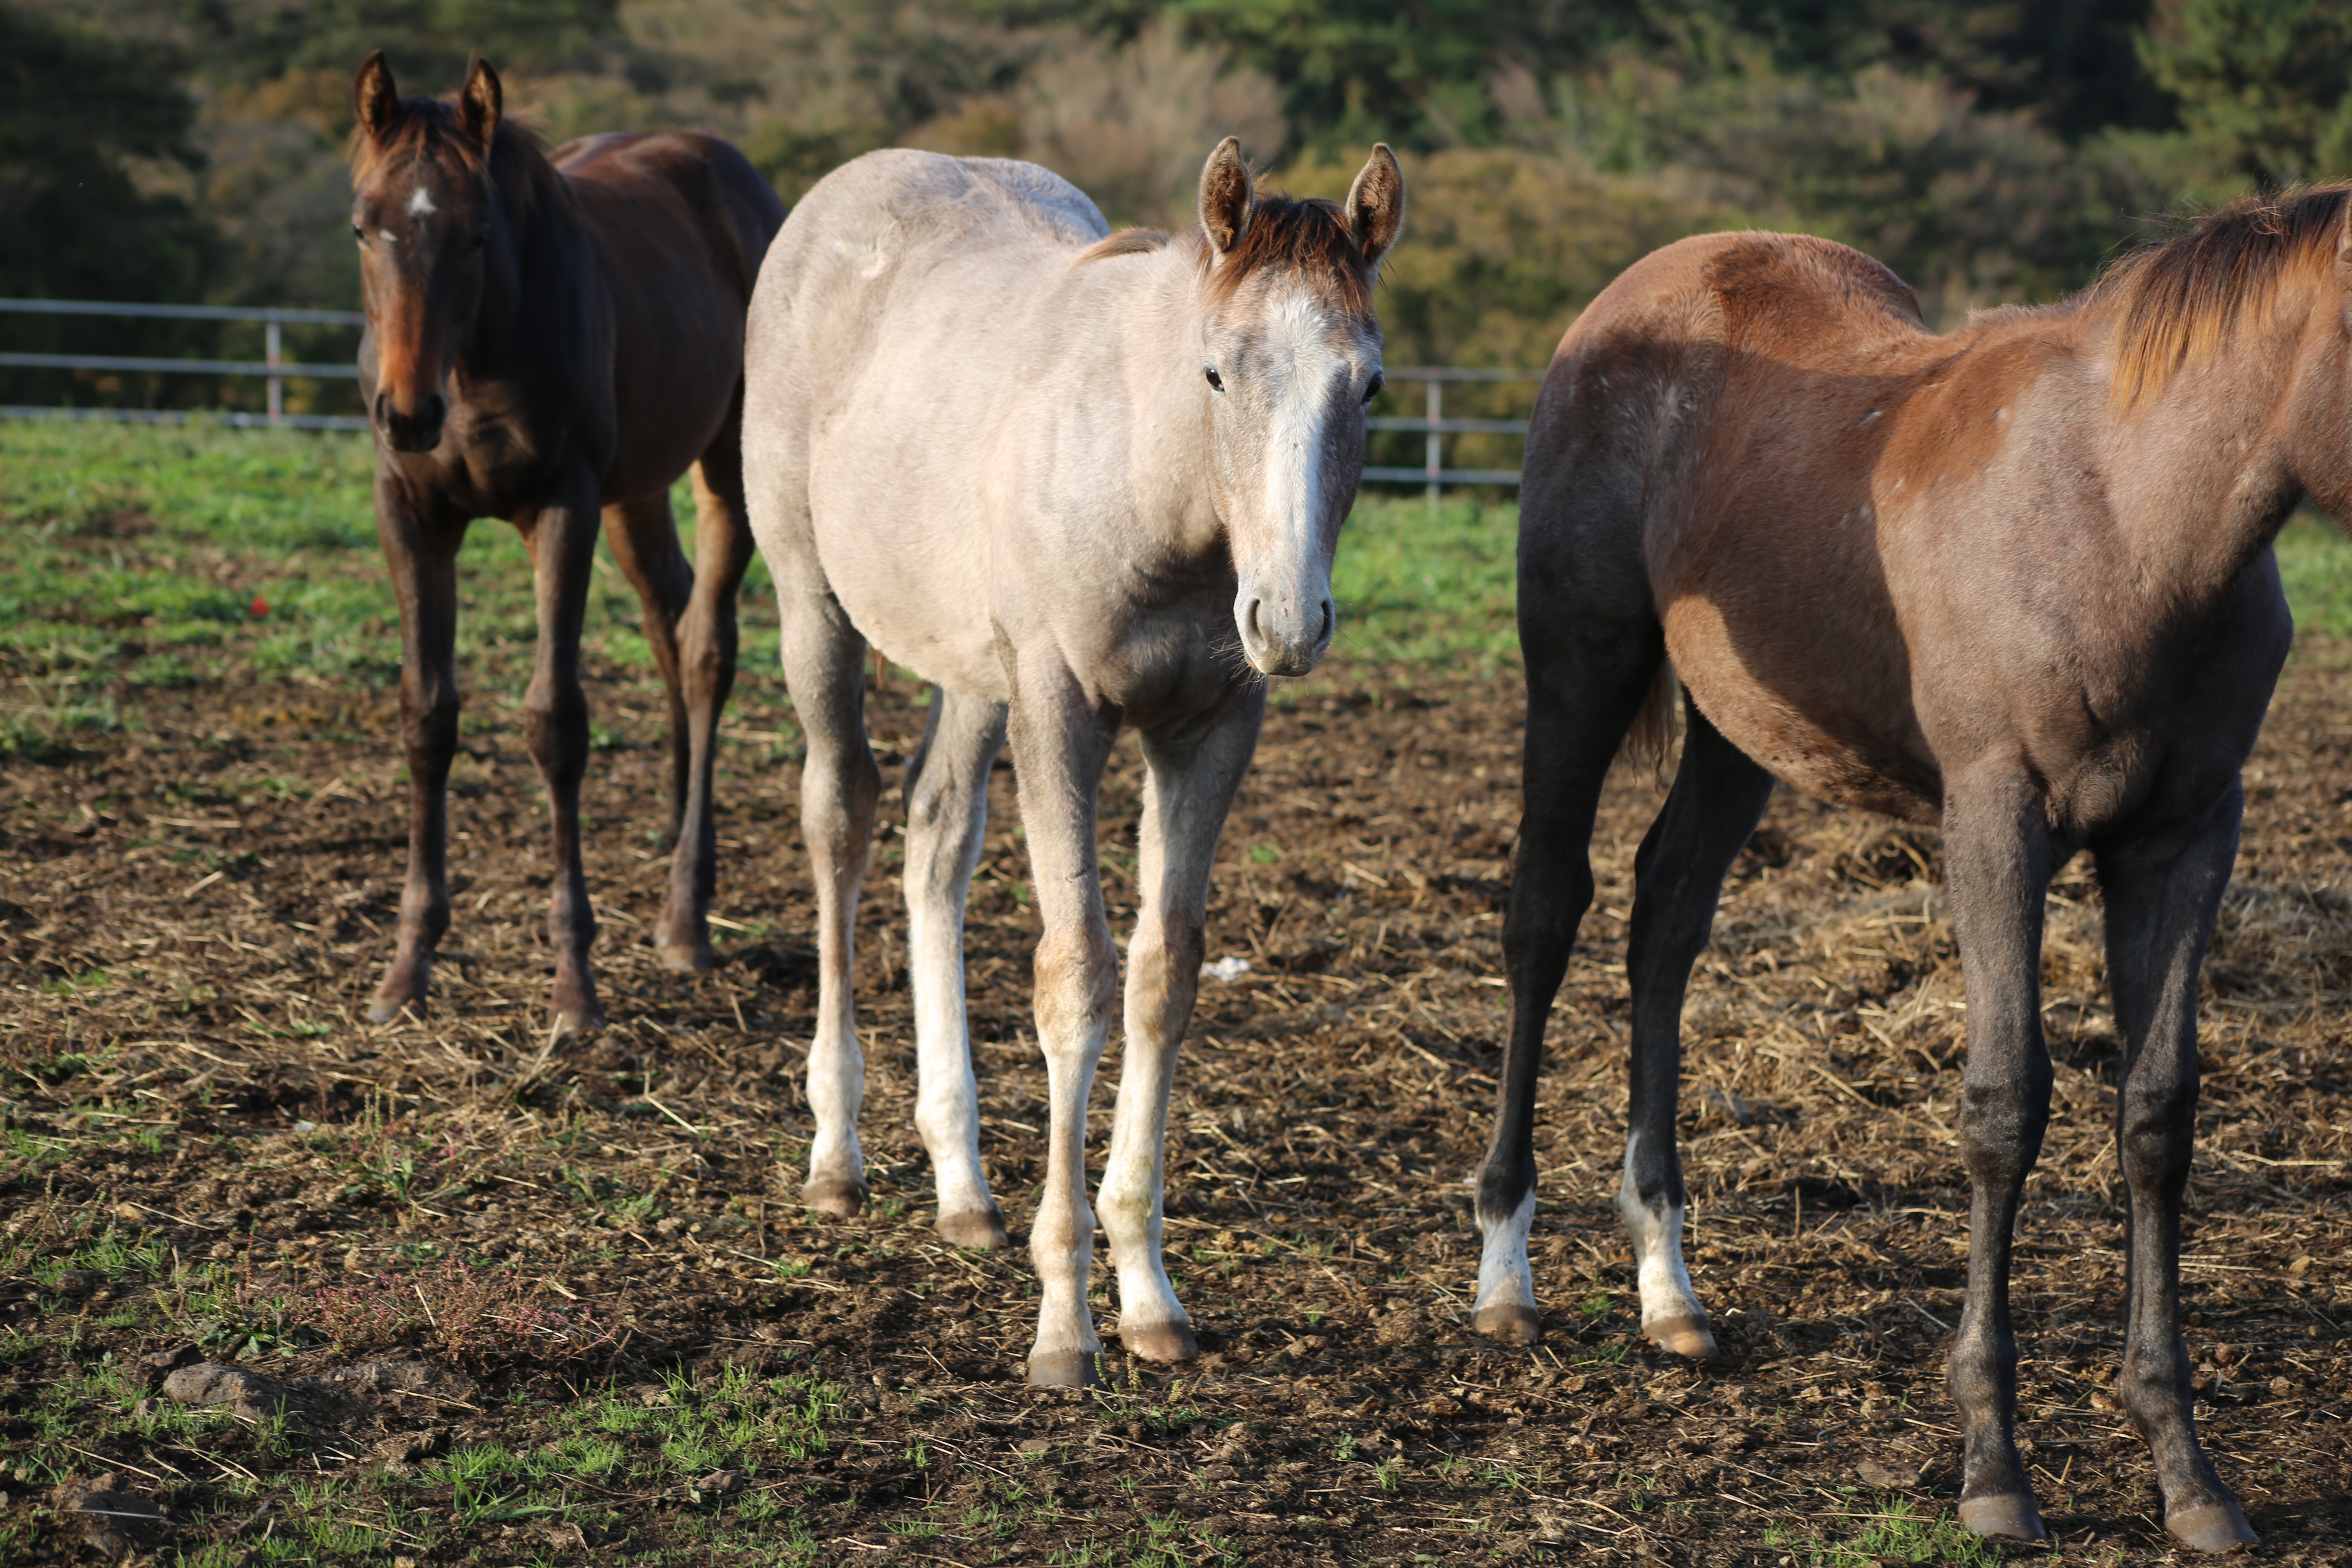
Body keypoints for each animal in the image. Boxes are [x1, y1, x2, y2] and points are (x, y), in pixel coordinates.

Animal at [345, 52, 790, 1029]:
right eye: (362, 225)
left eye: (478, 234)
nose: (408, 413)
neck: (473, 359)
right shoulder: (409, 511)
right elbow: (427, 713)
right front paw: (406, 966)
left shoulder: (565, 508)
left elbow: (555, 722)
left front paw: (573, 982)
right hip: (638, 495)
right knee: (670, 621)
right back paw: (676, 836)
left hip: (724, 471)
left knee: (707, 651)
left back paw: (685, 918)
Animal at [738, 138, 1392, 1382]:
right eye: (1216, 374)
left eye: (1368, 387)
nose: (1288, 621)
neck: (1153, 486)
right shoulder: (1058, 708)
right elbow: (1073, 978)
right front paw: (1063, 1322)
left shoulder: (1210, 729)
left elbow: (1160, 977)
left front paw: (1147, 1296)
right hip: (816, 608)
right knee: (840, 817)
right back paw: (836, 1152)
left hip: (969, 671)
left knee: (936, 839)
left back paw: (960, 1185)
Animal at [1477, 187, 2352, 1561]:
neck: (2124, 514)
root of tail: (1635, 296)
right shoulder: (1993, 820)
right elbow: (2005, 1106)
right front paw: (1994, 1466)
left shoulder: (2188, 834)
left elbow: (2158, 1118)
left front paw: (2189, 1473)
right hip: (1582, 663)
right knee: (1544, 915)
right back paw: (1504, 1277)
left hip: (1741, 735)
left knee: (1666, 919)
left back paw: (1670, 1288)